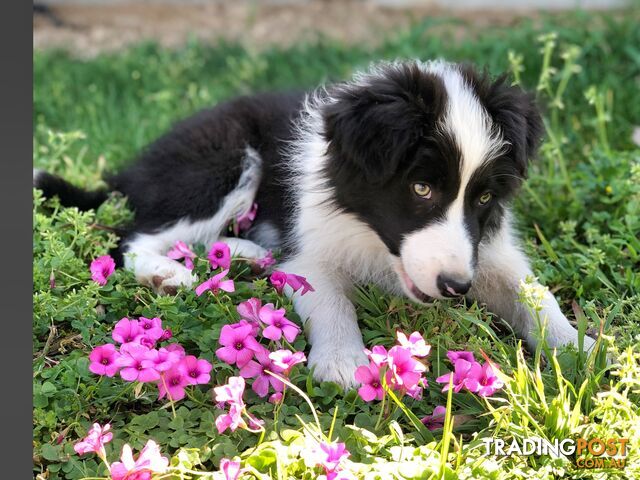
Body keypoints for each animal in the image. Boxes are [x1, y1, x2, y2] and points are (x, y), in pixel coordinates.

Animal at [36, 62, 596, 388]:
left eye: (482, 197)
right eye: (421, 188)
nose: (457, 287)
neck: (372, 235)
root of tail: (132, 168)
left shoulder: (487, 247)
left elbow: (533, 293)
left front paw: (580, 349)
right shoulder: (310, 244)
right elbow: (330, 299)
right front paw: (345, 363)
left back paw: (244, 256)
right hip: (221, 159)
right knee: (134, 235)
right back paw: (167, 273)